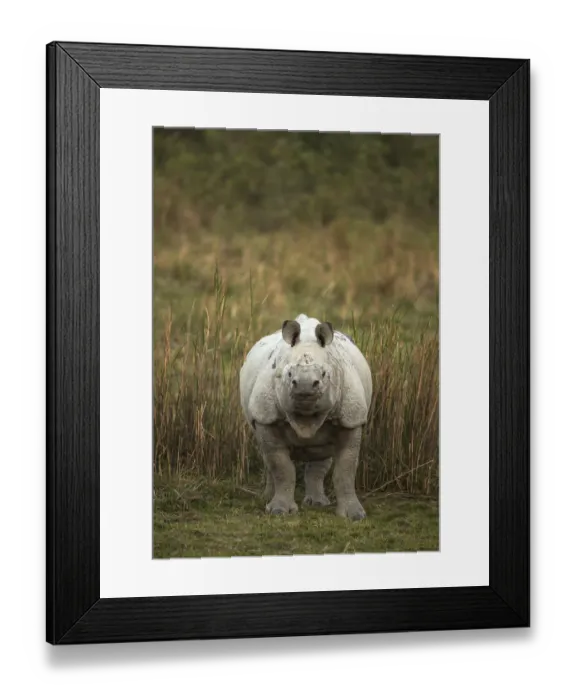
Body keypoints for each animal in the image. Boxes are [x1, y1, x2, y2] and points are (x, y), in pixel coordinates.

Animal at [239, 313, 372, 521]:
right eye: (289, 374)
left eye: (324, 374)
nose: (305, 386)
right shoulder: (266, 417)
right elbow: (281, 467)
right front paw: (278, 511)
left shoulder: (352, 419)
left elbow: (346, 469)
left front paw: (354, 515)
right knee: (267, 455)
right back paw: (267, 499)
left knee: (321, 455)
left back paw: (317, 503)